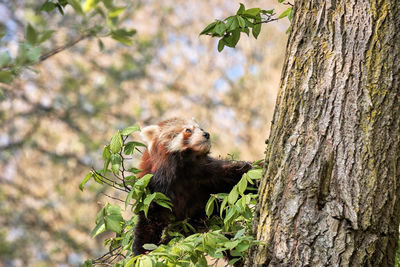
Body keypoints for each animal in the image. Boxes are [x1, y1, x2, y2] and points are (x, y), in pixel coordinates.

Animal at [136, 118, 252, 256]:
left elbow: (235, 177)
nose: (206, 134)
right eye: (188, 130)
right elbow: (149, 220)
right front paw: (141, 251)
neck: (185, 168)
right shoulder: (154, 190)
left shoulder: (209, 173)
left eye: (201, 128)